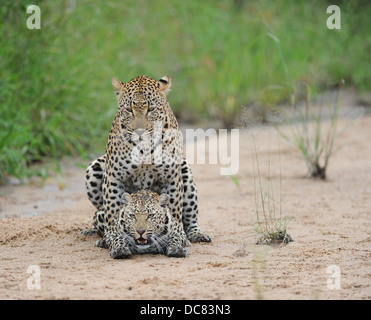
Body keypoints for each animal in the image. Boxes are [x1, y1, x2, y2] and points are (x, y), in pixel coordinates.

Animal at [85, 75, 212, 244]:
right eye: (129, 110)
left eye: (151, 109)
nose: (139, 131)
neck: (144, 149)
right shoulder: (114, 177)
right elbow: (112, 211)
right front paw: (112, 238)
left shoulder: (171, 178)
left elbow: (173, 210)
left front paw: (175, 236)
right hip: (94, 169)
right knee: (100, 212)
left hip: (185, 172)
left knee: (190, 217)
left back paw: (196, 234)